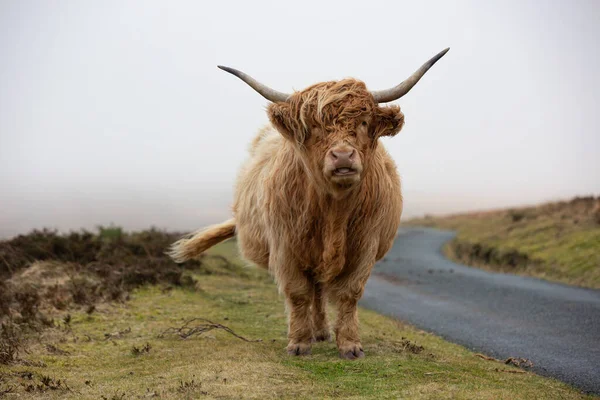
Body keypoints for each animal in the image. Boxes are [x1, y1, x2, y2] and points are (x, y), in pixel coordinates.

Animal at [168, 47, 446, 360]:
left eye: (363, 122)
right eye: (313, 127)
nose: (343, 156)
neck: (333, 212)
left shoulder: (365, 246)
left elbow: (349, 293)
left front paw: (350, 345)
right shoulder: (285, 247)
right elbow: (298, 292)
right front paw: (299, 343)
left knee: (320, 289)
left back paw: (322, 331)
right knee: (313, 289)